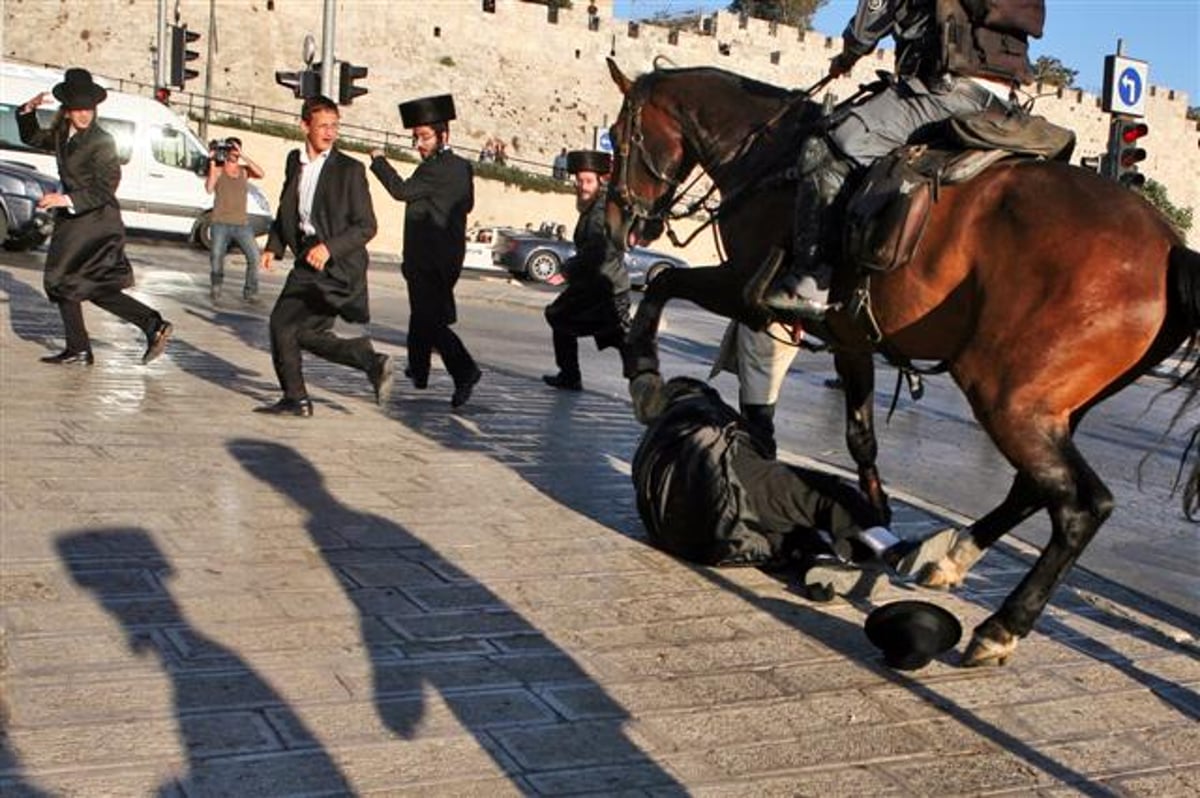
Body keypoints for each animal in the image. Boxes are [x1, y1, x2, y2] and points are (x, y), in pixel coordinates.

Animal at [609, 59, 1200, 662]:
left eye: (617, 136)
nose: (622, 219)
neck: (771, 157)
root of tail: (1170, 246)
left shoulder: (742, 288)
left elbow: (663, 280)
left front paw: (645, 379)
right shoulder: (850, 336)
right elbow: (860, 437)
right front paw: (875, 517)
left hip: (1005, 394)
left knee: (1083, 505)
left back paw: (1002, 624)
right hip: (1051, 406)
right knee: (1034, 486)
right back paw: (951, 555)